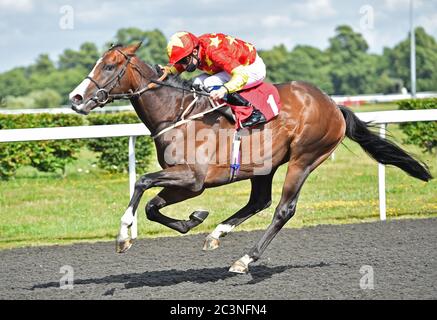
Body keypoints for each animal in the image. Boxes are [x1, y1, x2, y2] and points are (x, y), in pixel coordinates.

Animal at [70, 42, 430, 272]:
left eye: (110, 65)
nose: (76, 98)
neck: (177, 113)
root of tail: (333, 105)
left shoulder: (193, 178)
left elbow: (142, 183)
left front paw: (123, 235)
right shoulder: (187, 183)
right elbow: (152, 206)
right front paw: (194, 219)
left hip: (305, 158)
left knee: (283, 209)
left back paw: (245, 259)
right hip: (264, 166)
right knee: (260, 201)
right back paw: (216, 233)